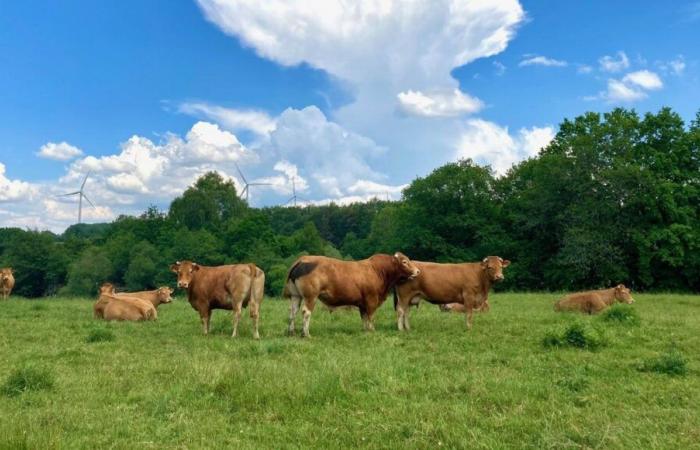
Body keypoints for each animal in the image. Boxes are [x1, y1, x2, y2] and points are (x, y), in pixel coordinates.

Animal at [282, 251, 418, 336]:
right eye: (404, 262)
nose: (417, 271)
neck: (378, 270)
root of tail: (302, 260)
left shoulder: (362, 303)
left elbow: (364, 317)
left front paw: (365, 330)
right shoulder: (371, 299)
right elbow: (371, 316)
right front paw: (372, 330)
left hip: (296, 296)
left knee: (292, 311)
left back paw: (291, 332)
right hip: (310, 296)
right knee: (306, 312)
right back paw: (306, 334)